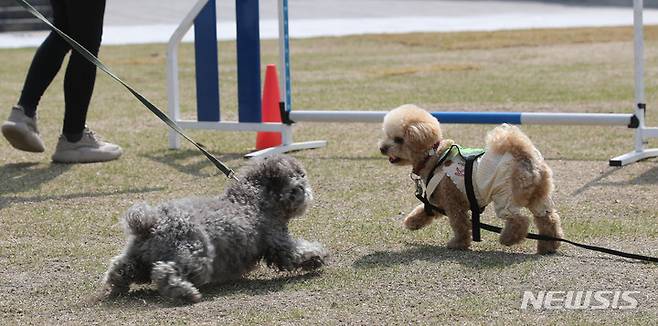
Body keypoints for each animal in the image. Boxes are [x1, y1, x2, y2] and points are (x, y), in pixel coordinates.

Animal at [102, 155, 328, 304]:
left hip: (139, 257)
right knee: (163, 272)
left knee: (122, 267)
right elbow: (299, 252)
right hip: (194, 257)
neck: (254, 198)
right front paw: (318, 257)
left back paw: (117, 285)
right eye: (299, 177)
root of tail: (151, 223)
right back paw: (186, 293)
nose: (307, 192)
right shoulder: (278, 243)